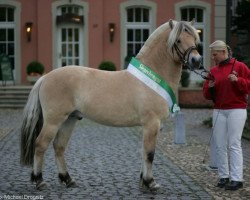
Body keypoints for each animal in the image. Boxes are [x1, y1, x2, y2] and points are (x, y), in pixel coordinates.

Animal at [20, 19, 202, 191]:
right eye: (178, 40)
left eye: (194, 38)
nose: (196, 60)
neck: (152, 78)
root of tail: (45, 77)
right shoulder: (152, 124)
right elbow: (150, 153)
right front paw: (151, 183)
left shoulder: (148, 126)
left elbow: (144, 152)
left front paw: (143, 182)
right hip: (53, 121)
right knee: (40, 144)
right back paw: (39, 181)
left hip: (69, 120)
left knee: (59, 147)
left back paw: (68, 179)